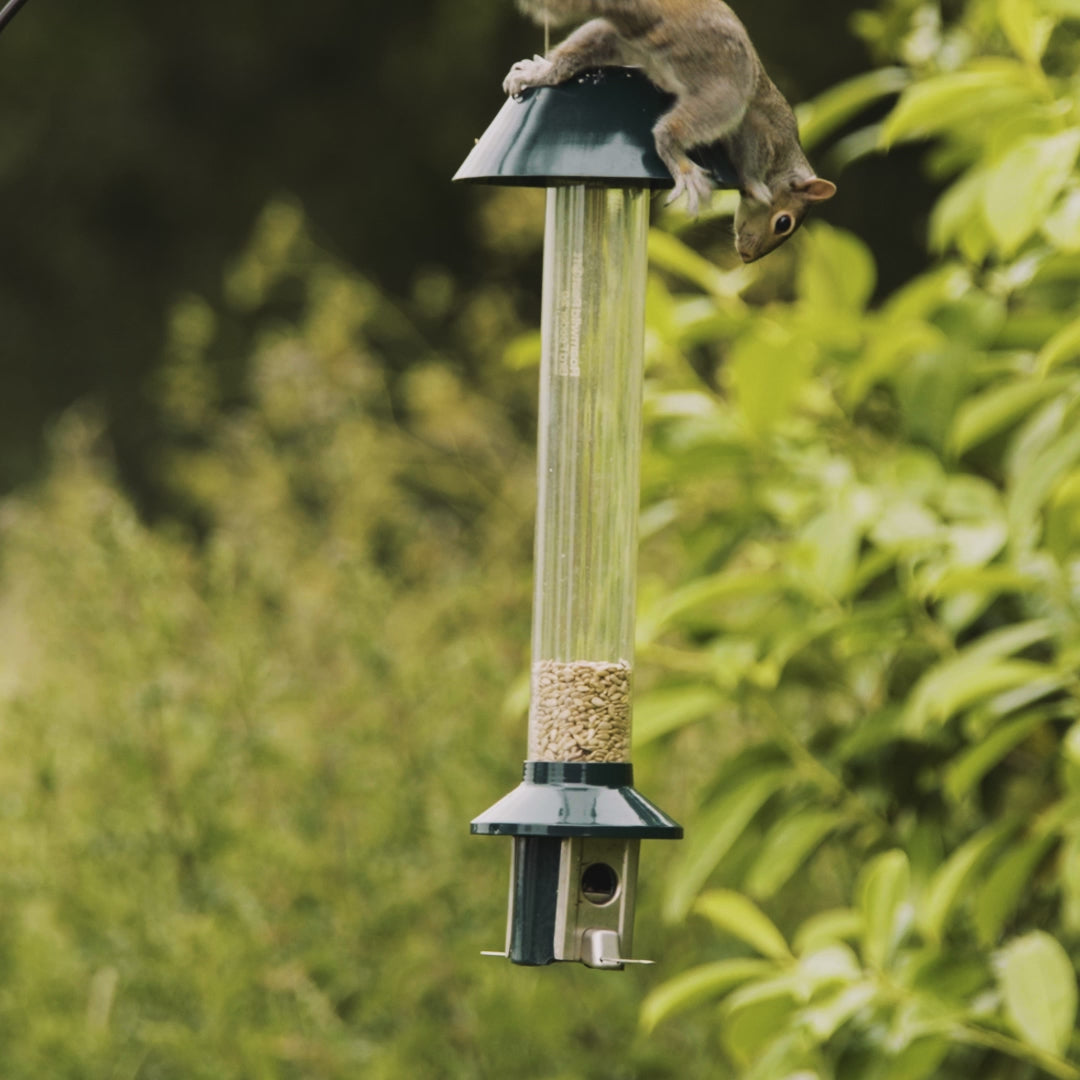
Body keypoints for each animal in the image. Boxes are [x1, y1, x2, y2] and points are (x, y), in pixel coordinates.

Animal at [503, 0, 837, 262]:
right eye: (783, 223)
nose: (747, 257)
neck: (786, 159)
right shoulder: (763, 138)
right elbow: (752, 166)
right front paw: (756, 187)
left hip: (612, 38)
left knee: (571, 57)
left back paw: (538, 72)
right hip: (722, 91)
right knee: (669, 131)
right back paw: (683, 167)